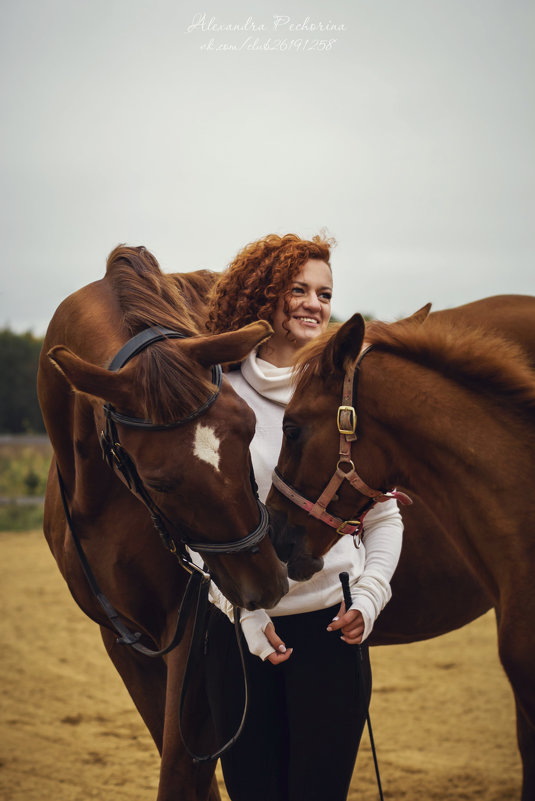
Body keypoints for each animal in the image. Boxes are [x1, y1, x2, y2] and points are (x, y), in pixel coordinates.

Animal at [37, 245, 288, 800]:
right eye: (159, 481)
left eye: (250, 429)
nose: (268, 585)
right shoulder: (124, 639)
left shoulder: (192, 629)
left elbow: (180, 769)